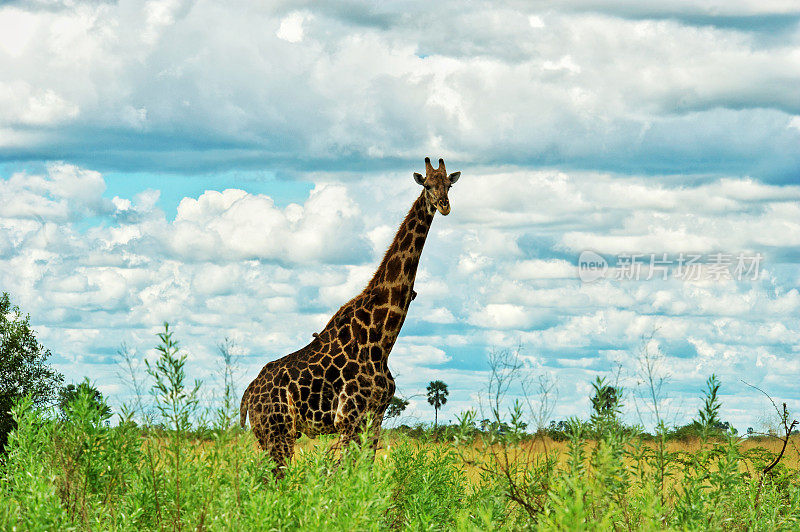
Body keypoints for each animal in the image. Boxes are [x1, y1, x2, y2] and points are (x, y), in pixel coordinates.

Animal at [241, 156, 460, 476]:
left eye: (449, 185)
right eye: (428, 185)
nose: (444, 205)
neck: (382, 337)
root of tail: (248, 395)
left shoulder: (375, 417)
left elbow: (362, 473)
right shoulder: (349, 419)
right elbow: (345, 475)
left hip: (273, 434)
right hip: (276, 432)